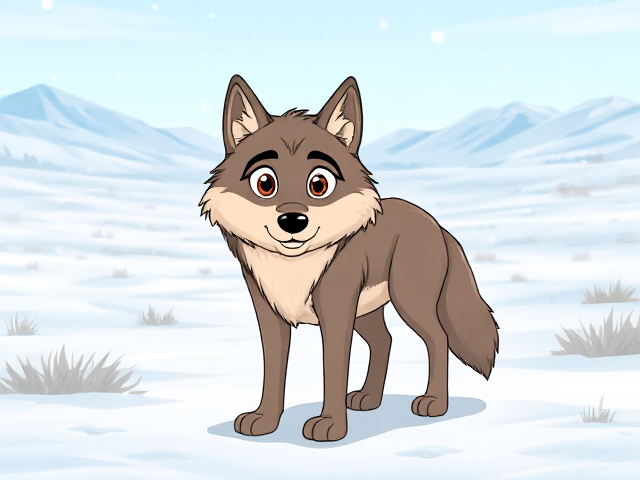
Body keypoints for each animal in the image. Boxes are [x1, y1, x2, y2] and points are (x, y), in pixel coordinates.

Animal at [199, 75, 499, 442]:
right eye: (265, 183)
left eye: (319, 184)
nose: (293, 221)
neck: (294, 269)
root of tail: (435, 224)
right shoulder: (271, 314)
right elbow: (273, 372)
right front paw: (265, 420)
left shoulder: (336, 314)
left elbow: (332, 371)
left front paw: (330, 426)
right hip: (367, 312)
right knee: (385, 340)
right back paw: (368, 398)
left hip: (408, 303)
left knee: (437, 339)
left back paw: (434, 403)